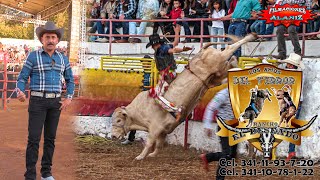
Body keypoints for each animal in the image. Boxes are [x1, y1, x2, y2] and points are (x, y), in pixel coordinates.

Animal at [112, 33, 258, 160]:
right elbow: (159, 145)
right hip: (217, 75)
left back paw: (252, 36)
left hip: (219, 60)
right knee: (231, 61)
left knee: (230, 48)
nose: (113, 136)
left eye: (119, 120)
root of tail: (202, 51)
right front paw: (152, 155)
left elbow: (149, 143)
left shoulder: (155, 128)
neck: (140, 111)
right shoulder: (163, 131)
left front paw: (140, 156)